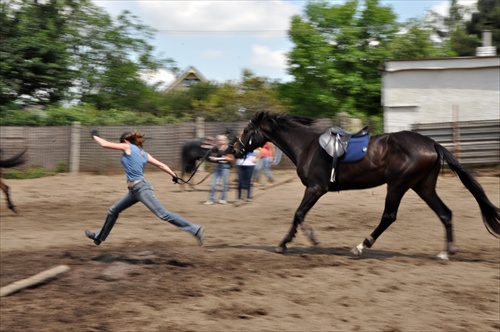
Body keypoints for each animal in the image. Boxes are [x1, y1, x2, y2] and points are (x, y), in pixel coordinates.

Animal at [234, 111, 500, 260]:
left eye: (247, 129)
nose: (234, 150)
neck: (306, 146)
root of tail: (432, 143)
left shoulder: (316, 188)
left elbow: (299, 213)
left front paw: (299, 241)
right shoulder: (314, 190)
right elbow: (299, 215)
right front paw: (293, 241)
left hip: (398, 184)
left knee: (389, 216)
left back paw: (361, 246)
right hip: (423, 186)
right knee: (445, 213)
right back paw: (447, 251)